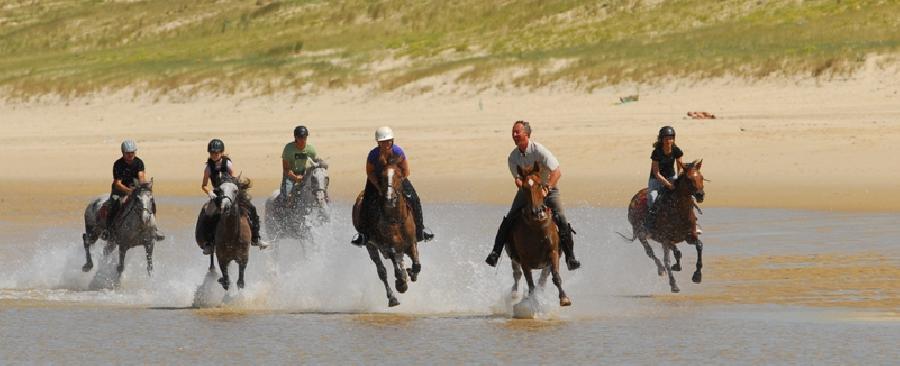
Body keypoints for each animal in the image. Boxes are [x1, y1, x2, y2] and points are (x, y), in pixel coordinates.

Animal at [352, 151, 422, 306]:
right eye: (382, 177)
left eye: (399, 175)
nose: (390, 198)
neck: (395, 219)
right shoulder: (387, 247)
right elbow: (395, 266)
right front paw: (401, 284)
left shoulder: (411, 243)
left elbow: (416, 265)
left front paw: (410, 273)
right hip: (371, 246)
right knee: (382, 271)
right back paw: (392, 297)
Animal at [506, 162, 568, 308]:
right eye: (524, 187)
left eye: (540, 184)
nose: (537, 212)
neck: (536, 227)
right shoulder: (524, 260)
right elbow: (530, 283)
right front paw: (533, 301)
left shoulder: (553, 253)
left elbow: (555, 275)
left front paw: (564, 298)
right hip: (514, 258)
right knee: (517, 274)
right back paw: (515, 294)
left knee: (543, 279)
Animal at [624, 159, 708, 294]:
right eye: (689, 179)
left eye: (701, 177)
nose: (700, 195)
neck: (679, 211)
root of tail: (634, 198)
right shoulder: (665, 239)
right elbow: (666, 260)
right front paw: (673, 285)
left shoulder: (689, 236)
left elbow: (699, 246)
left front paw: (697, 275)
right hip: (643, 236)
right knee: (651, 253)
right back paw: (661, 270)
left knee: (676, 251)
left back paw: (677, 265)